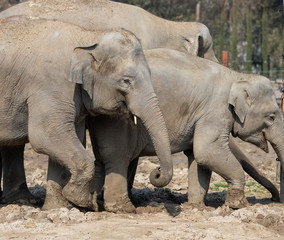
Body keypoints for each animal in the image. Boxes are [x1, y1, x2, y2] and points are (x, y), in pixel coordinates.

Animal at [0, 16, 173, 209]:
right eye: (126, 81)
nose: (157, 171)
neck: (88, 35)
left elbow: (72, 135)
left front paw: (59, 207)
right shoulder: (51, 85)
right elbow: (45, 135)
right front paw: (81, 201)